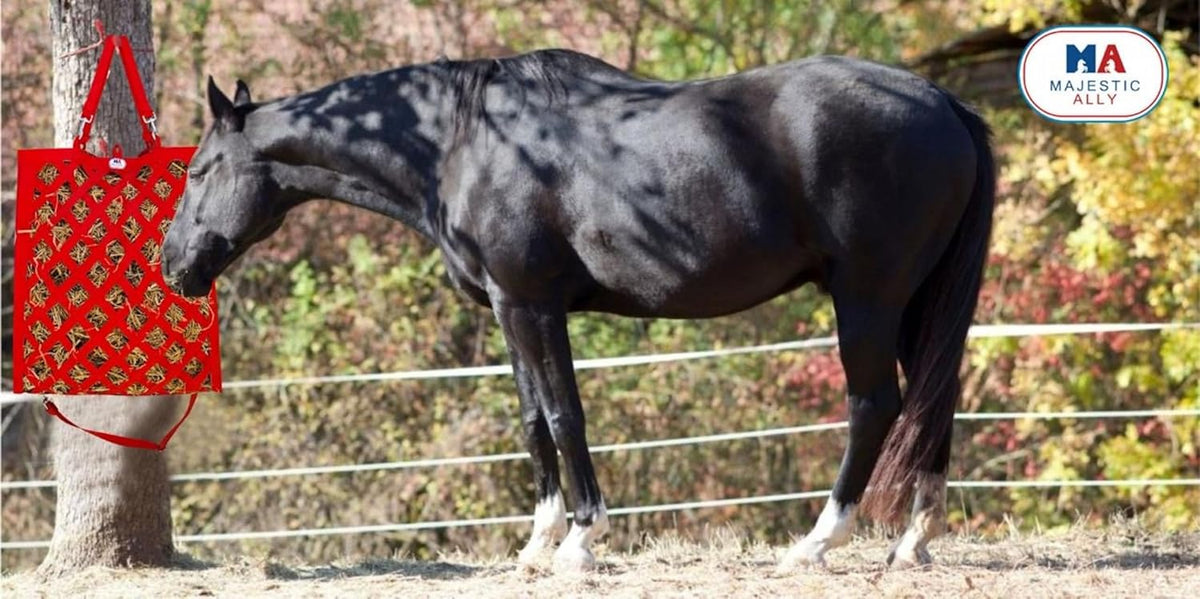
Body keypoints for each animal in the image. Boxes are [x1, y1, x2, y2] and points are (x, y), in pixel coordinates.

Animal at [162, 49, 994, 572]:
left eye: (199, 169)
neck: (464, 142)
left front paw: (581, 541)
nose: (171, 266)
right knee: (936, 398)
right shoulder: (508, 306)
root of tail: (943, 103)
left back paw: (817, 542)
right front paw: (537, 542)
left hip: (869, 298)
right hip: (919, 302)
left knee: (874, 404)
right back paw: (913, 541)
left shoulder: (532, 303)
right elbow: (533, 419)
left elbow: (566, 415)